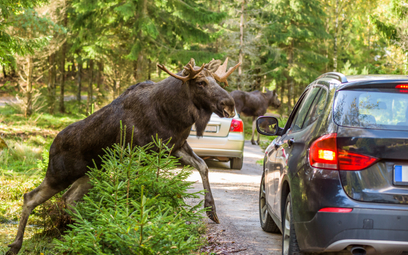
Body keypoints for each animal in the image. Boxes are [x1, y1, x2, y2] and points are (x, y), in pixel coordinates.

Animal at [7, 57, 239, 255]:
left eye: (217, 81)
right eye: (200, 82)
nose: (229, 104)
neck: (173, 115)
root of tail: (50, 147)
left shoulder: (175, 146)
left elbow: (203, 166)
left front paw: (211, 210)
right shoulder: (138, 153)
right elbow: (137, 189)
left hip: (89, 174)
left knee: (69, 198)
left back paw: (91, 227)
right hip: (60, 174)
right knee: (30, 197)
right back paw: (16, 245)